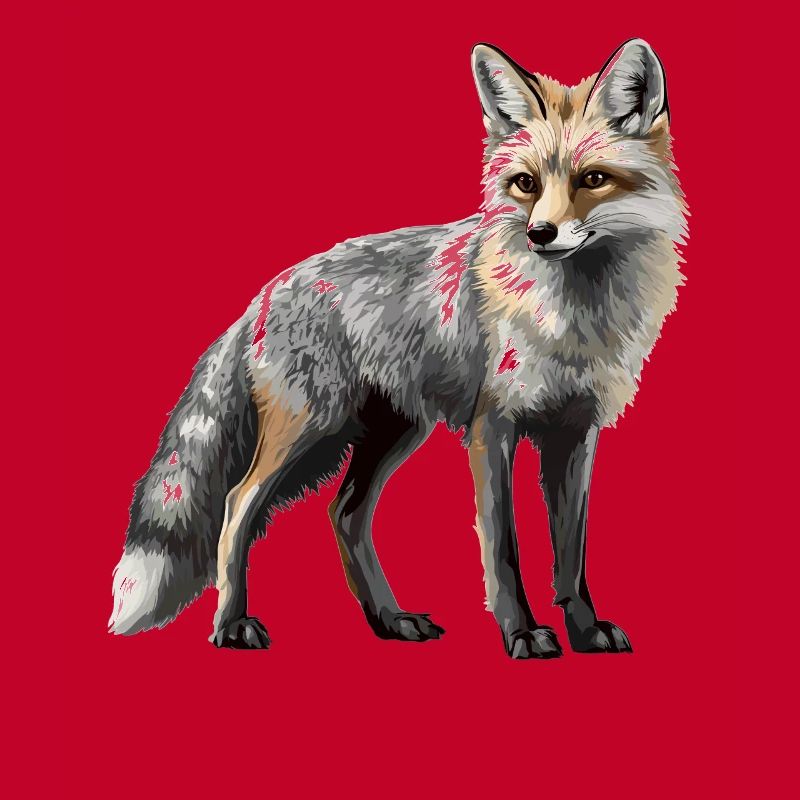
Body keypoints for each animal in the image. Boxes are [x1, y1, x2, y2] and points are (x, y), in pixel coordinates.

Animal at [109, 39, 687, 658]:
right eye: (526, 184)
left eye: (593, 178)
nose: (540, 234)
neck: (574, 318)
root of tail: (267, 290)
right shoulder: (492, 427)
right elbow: (502, 551)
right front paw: (522, 632)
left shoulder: (576, 431)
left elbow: (571, 552)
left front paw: (584, 628)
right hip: (309, 427)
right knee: (237, 507)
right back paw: (230, 624)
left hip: (394, 431)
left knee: (345, 514)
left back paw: (388, 620)